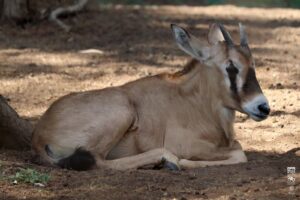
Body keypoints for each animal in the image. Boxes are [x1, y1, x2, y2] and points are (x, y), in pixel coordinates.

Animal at [31, 23, 270, 170]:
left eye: (252, 64)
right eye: (231, 67)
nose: (263, 107)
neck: (197, 102)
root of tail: (39, 134)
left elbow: (238, 147)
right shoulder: (189, 145)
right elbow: (239, 152)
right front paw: (185, 162)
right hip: (122, 111)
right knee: (99, 160)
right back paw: (166, 161)